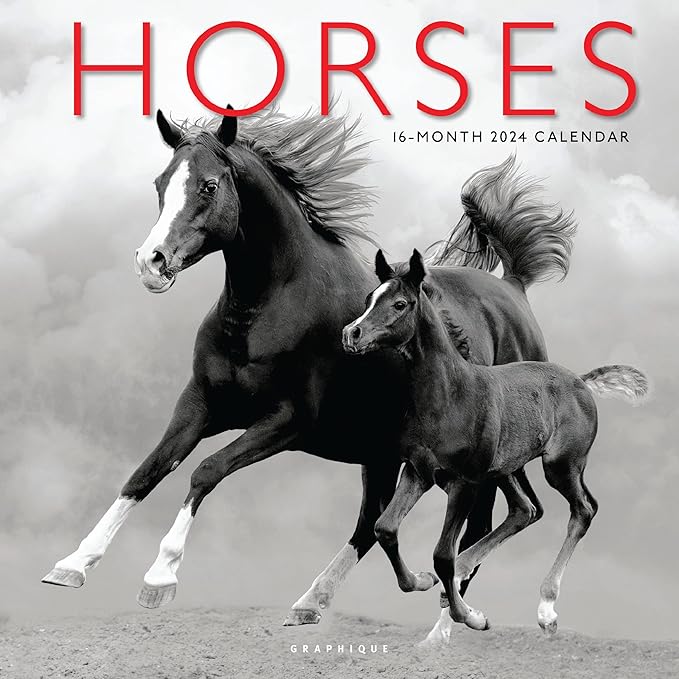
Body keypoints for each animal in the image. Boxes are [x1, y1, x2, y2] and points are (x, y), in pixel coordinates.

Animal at [42, 105, 576, 636]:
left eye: (209, 185)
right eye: (160, 182)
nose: (151, 263)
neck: (267, 308)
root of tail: (514, 289)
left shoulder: (287, 421)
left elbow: (205, 471)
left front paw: (159, 577)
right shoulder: (201, 405)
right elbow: (147, 471)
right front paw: (72, 564)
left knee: (488, 521)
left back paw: (447, 624)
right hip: (384, 453)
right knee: (375, 523)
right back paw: (313, 601)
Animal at [342, 249, 649, 635]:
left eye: (400, 303)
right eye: (370, 297)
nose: (351, 333)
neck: (451, 396)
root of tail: (581, 380)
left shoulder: (465, 483)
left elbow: (441, 554)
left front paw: (470, 616)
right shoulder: (418, 473)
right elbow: (385, 529)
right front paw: (423, 581)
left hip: (560, 466)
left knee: (583, 510)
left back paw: (546, 609)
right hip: (506, 469)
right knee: (525, 509)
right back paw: (463, 574)